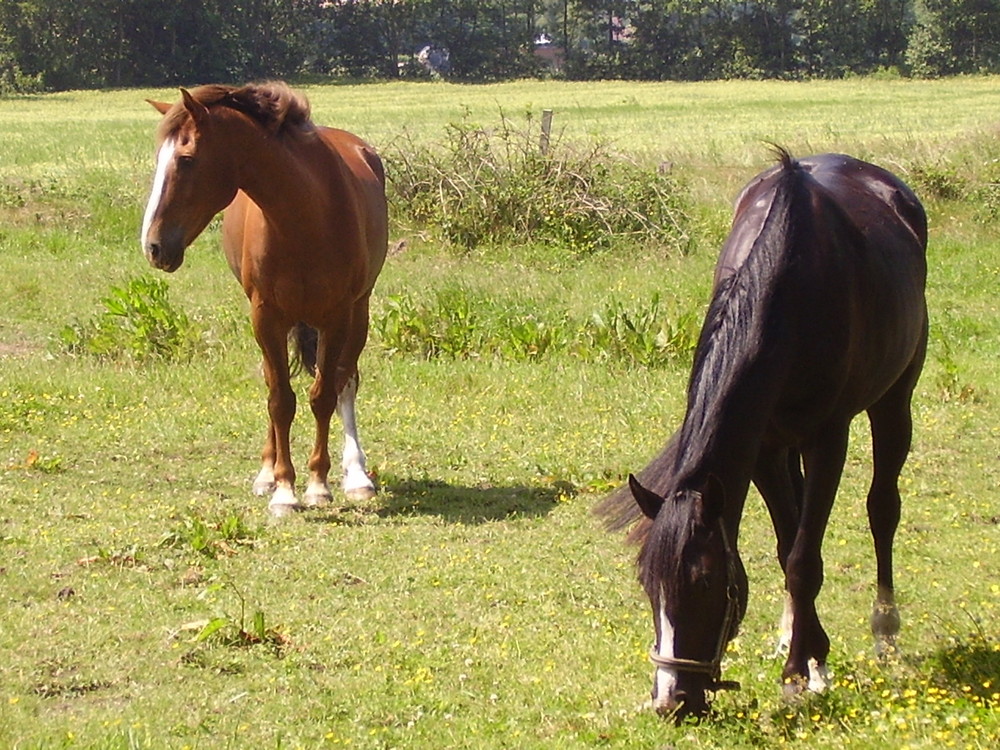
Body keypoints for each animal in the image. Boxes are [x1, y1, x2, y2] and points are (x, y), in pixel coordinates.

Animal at [141, 82, 386, 516]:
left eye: (186, 159)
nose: (152, 246)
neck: (306, 212)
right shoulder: (266, 316)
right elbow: (280, 400)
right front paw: (284, 489)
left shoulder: (338, 316)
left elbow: (323, 395)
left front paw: (319, 485)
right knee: (277, 382)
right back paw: (267, 474)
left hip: (358, 313)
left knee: (346, 381)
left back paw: (357, 476)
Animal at [596, 150, 924, 720]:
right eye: (646, 583)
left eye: (705, 582)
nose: (671, 701)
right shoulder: (766, 446)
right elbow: (788, 546)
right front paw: (811, 655)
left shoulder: (828, 439)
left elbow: (803, 560)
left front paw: (797, 675)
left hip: (894, 400)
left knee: (883, 509)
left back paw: (886, 633)